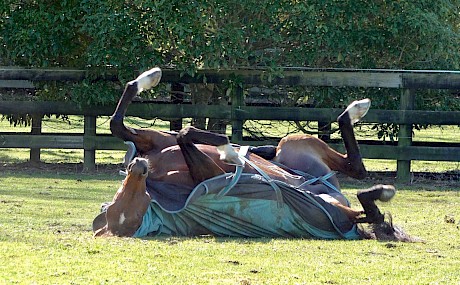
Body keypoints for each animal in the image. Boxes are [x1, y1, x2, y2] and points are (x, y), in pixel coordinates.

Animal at [92, 66, 414, 240]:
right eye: (128, 208)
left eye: (124, 193)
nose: (137, 166)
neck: (161, 180)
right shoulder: (210, 175)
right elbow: (188, 136)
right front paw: (229, 151)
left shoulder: (156, 141)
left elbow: (122, 125)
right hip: (307, 161)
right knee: (361, 181)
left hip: (296, 146)